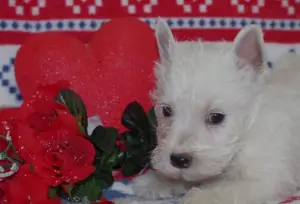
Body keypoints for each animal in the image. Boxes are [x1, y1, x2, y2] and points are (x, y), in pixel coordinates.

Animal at [117, 19, 300, 204]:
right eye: (167, 111)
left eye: (216, 117)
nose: (179, 160)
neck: (246, 133)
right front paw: (157, 181)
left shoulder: (264, 180)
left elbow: (225, 190)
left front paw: (197, 197)